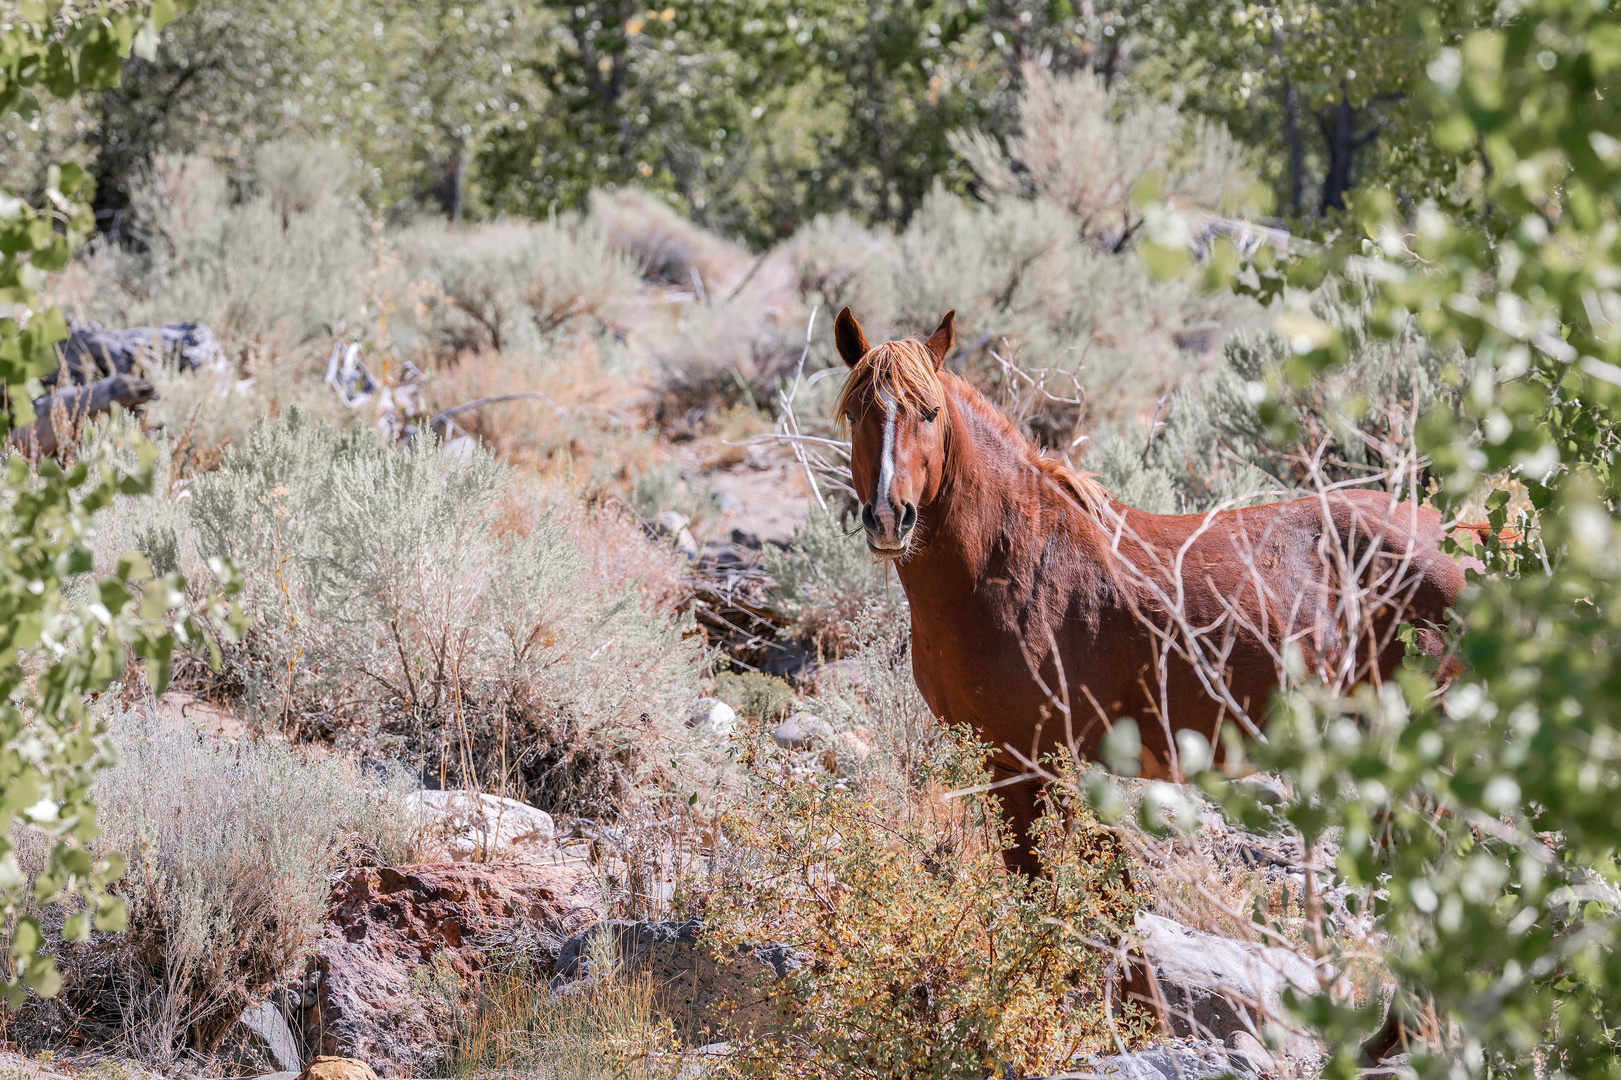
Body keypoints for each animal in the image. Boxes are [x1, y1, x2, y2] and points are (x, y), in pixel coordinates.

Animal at [836, 304, 1471, 875]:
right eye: (854, 414)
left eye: (930, 413)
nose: (890, 518)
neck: (1007, 566)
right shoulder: (1002, 764)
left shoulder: (1042, 762)